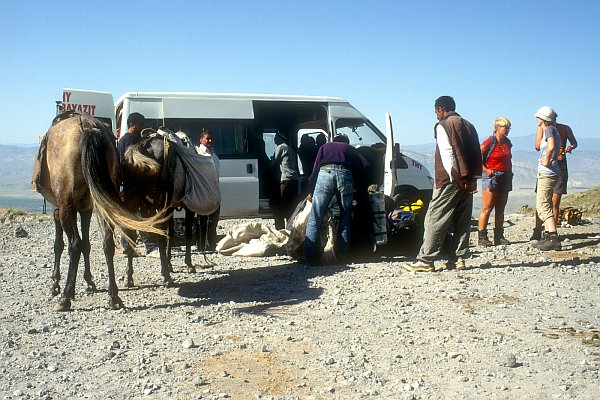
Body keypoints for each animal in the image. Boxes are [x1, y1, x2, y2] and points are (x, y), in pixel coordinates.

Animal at [34, 111, 168, 310]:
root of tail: (87, 128)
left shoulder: (58, 209)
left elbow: (60, 245)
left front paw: (56, 285)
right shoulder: (87, 209)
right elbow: (87, 244)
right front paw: (89, 282)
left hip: (68, 207)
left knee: (74, 245)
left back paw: (65, 297)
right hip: (103, 205)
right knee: (107, 243)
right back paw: (114, 296)